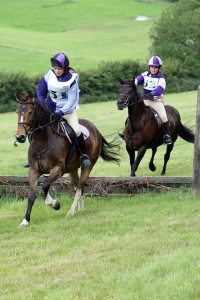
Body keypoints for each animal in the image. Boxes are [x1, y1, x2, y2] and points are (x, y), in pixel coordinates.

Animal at [15, 91, 120, 227]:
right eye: (17, 112)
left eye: (30, 112)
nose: (20, 137)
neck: (43, 141)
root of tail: (95, 129)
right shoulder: (33, 170)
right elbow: (31, 196)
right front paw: (25, 221)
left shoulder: (58, 169)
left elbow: (45, 185)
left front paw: (55, 204)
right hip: (72, 169)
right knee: (77, 187)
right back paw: (80, 209)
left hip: (88, 165)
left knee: (80, 187)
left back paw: (70, 212)